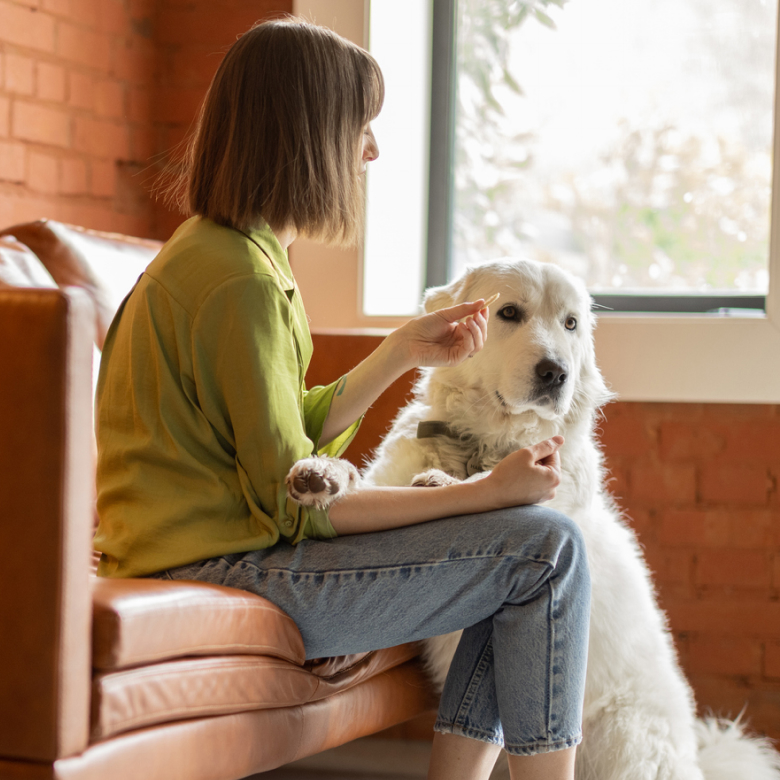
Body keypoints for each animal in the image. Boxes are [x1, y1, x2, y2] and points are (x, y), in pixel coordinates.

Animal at [288, 258, 780, 776]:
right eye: (508, 312)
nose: (555, 372)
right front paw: (324, 473)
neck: (485, 443)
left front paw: (442, 484)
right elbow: (366, 490)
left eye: (571, 324)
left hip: (625, 739)